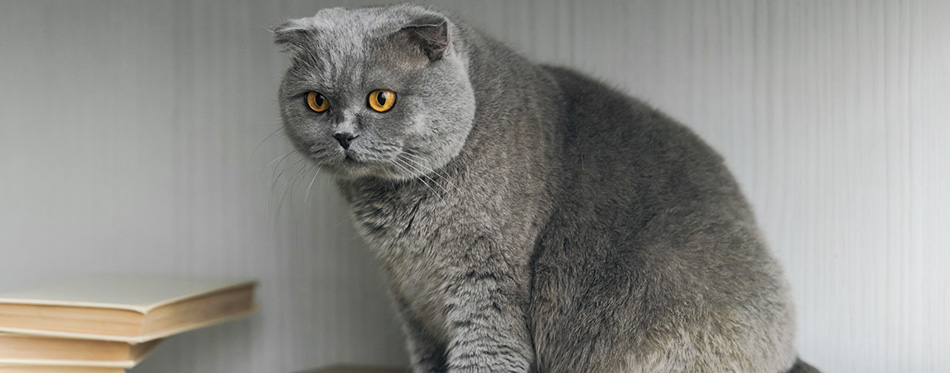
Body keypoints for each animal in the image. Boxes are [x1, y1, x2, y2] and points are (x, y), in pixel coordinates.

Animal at [274, 3, 820, 372]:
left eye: (381, 99)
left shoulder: (486, 284)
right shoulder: (411, 304)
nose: (343, 136)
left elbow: (487, 357)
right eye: (317, 101)